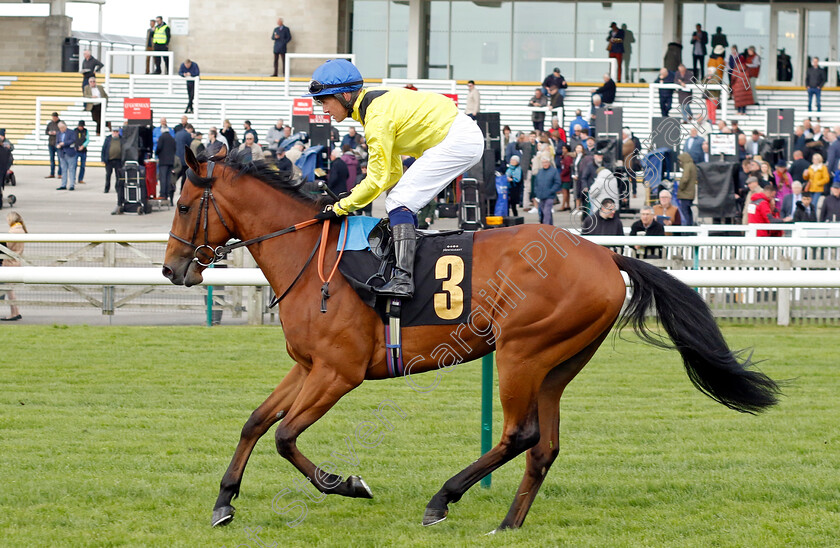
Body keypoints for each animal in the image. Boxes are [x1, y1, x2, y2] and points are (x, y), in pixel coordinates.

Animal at [162, 148, 780, 532]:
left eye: (185, 205)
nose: (172, 270)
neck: (312, 260)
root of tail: (606, 255)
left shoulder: (339, 373)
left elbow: (285, 436)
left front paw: (350, 484)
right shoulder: (308, 365)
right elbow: (255, 422)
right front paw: (223, 502)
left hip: (522, 351)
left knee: (520, 434)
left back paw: (443, 499)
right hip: (559, 363)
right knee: (545, 445)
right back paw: (506, 523)